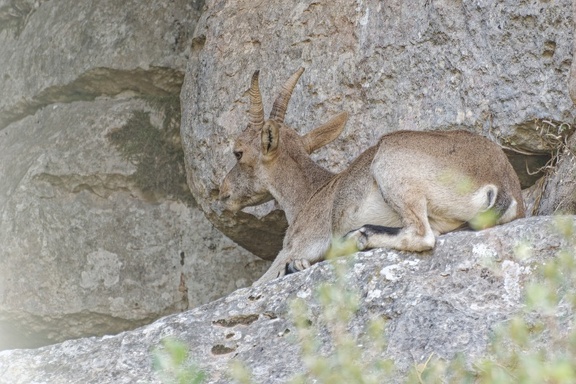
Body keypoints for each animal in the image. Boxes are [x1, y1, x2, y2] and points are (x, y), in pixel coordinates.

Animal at [218, 68, 524, 284]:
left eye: (238, 152)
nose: (223, 192)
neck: (310, 194)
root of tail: (500, 183)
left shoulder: (294, 246)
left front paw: (297, 265)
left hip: (391, 167)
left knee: (422, 235)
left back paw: (356, 238)